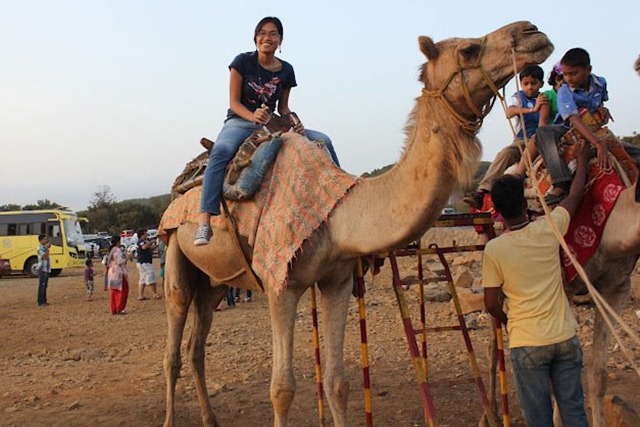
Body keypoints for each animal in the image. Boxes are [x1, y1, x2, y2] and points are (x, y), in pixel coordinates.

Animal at [161, 21, 553, 427]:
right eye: (469, 50)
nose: (532, 32)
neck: (339, 217)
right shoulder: (279, 284)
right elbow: (282, 389)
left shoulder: (337, 280)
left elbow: (338, 382)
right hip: (175, 249)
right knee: (174, 343)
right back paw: (170, 417)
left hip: (217, 281)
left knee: (195, 345)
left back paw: (210, 418)